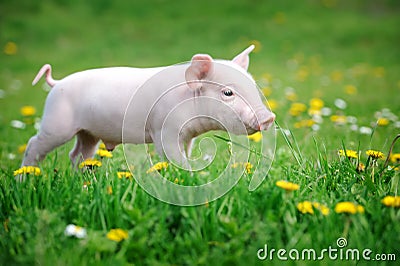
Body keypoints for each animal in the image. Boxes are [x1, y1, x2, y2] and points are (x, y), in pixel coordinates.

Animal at [21, 45, 276, 170]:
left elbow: (186, 153)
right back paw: (24, 179)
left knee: (78, 155)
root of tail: (57, 83)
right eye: (228, 93)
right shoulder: (164, 130)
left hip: (88, 133)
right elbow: (174, 157)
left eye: (254, 87)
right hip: (57, 123)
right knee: (34, 144)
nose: (269, 117)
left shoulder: (188, 136)